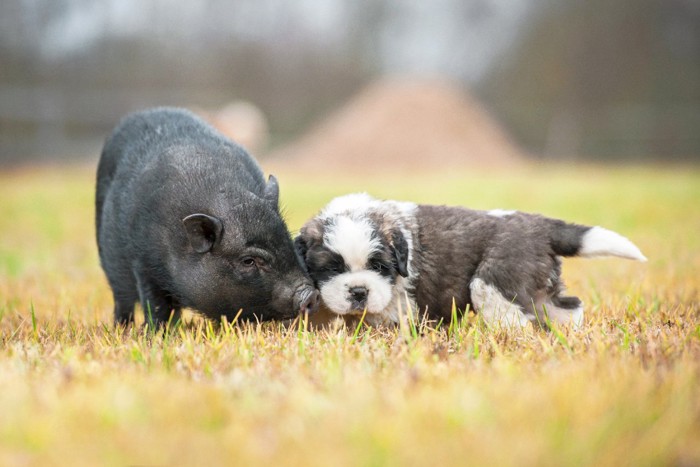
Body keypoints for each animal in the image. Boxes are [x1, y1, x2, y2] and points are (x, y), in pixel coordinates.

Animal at [96, 108, 320, 328]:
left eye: (288, 243)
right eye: (248, 261)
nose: (311, 294)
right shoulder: (143, 263)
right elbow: (155, 305)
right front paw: (155, 332)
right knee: (123, 301)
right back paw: (123, 327)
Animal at [294, 194, 644, 330]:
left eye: (379, 267)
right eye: (332, 268)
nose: (358, 292)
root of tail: (538, 225)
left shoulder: (402, 305)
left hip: (495, 283)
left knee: (516, 319)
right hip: (540, 285)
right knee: (568, 306)